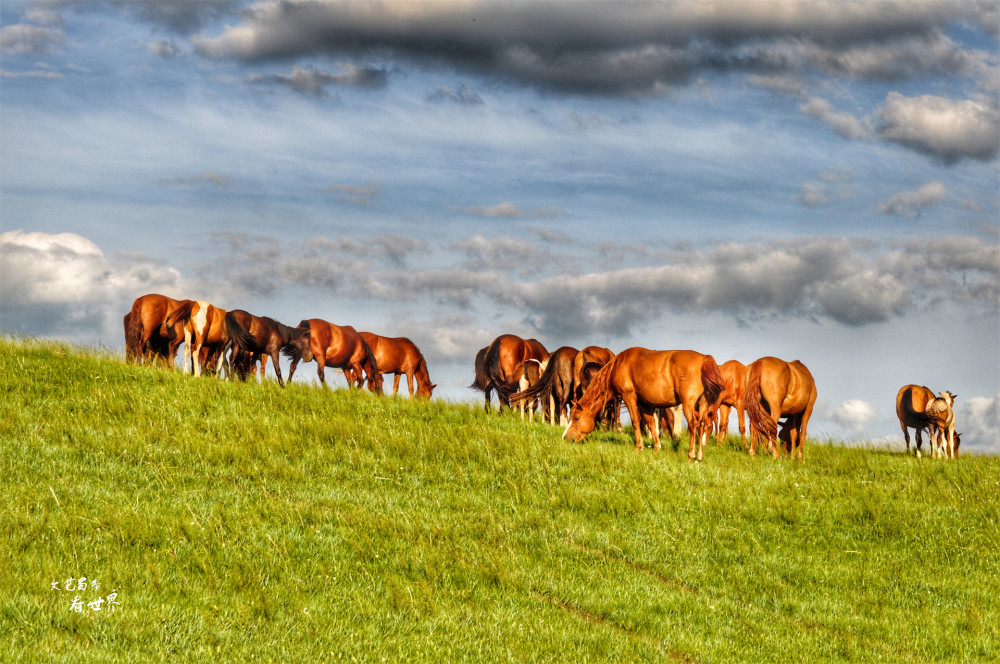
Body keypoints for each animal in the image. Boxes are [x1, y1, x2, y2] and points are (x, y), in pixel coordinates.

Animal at [564, 348, 728, 462]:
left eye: (576, 418)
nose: (565, 438)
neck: (619, 365)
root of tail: (703, 359)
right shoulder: (644, 403)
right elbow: (651, 424)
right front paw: (656, 448)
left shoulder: (629, 397)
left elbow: (636, 422)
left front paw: (639, 447)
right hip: (703, 404)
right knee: (701, 425)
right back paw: (699, 456)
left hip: (689, 404)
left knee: (693, 426)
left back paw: (691, 455)